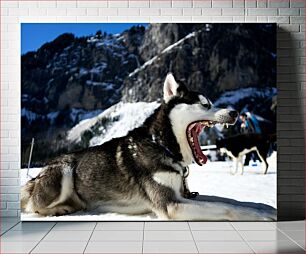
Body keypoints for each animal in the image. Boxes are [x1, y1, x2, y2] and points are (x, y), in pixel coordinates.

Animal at [21, 73, 274, 220]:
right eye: (205, 104)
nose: (235, 112)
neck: (163, 146)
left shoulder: (183, 194)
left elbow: (231, 201)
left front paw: (265, 207)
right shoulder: (171, 204)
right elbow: (226, 208)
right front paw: (258, 215)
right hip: (63, 171)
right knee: (33, 206)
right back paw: (59, 209)